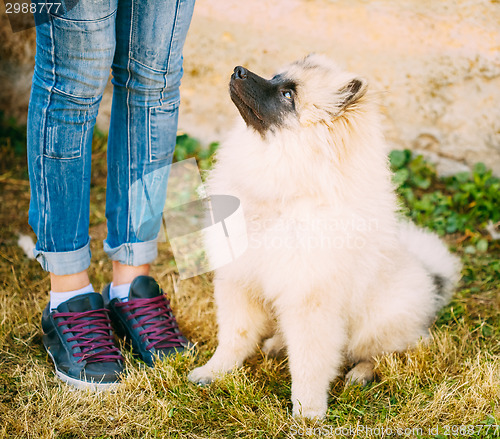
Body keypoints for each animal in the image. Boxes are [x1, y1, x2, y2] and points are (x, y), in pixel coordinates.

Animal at [188, 54, 460, 420]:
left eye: (288, 95)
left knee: (381, 353)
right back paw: (277, 345)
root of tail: (431, 278)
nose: (238, 71)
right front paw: (215, 371)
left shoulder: (311, 301)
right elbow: (235, 336)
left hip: (377, 323)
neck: (283, 193)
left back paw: (360, 374)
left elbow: (311, 362)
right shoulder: (239, 282)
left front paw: (308, 411)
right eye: (276, 77)